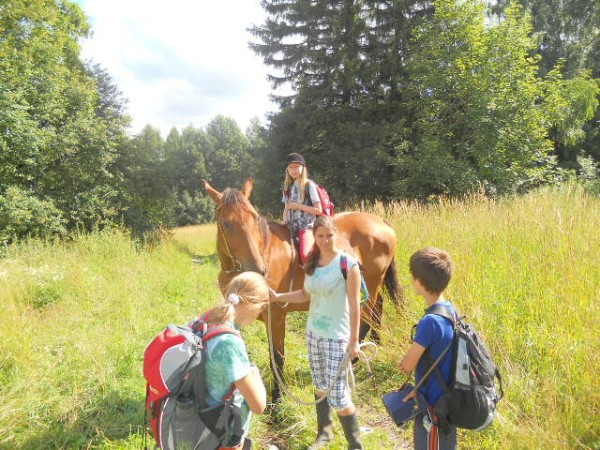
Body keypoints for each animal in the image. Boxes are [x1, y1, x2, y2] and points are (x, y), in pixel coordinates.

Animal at [203, 178, 404, 402]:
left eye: (255, 219)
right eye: (226, 223)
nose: (258, 271)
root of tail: (381, 222)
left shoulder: (276, 316)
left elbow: (277, 357)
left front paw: (276, 399)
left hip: (372, 281)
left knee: (368, 316)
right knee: (378, 307)